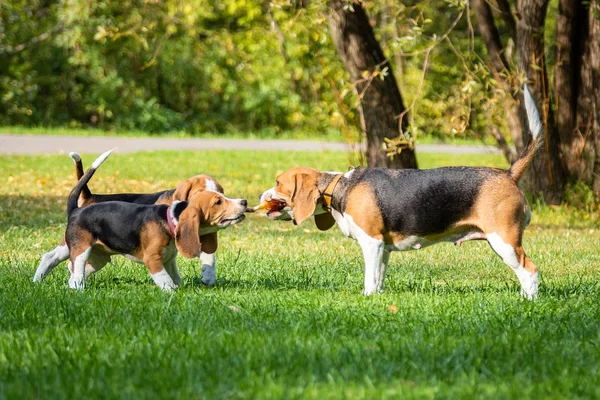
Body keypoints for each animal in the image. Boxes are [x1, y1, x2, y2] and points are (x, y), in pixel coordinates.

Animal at [62, 150, 246, 290]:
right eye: (202, 193)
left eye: (222, 192)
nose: (243, 202)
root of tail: (88, 198)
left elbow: (208, 257)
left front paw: (208, 276)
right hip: (73, 245)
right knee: (66, 261)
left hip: (98, 254)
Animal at [258, 86, 544, 300]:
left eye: (278, 182)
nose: (260, 196)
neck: (339, 186)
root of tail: (508, 173)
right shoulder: (383, 248)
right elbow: (379, 277)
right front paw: (379, 296)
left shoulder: (371, 242)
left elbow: (369, 279)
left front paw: (367, 298)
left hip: (504, 240)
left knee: (530, 270)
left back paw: (528, 300)